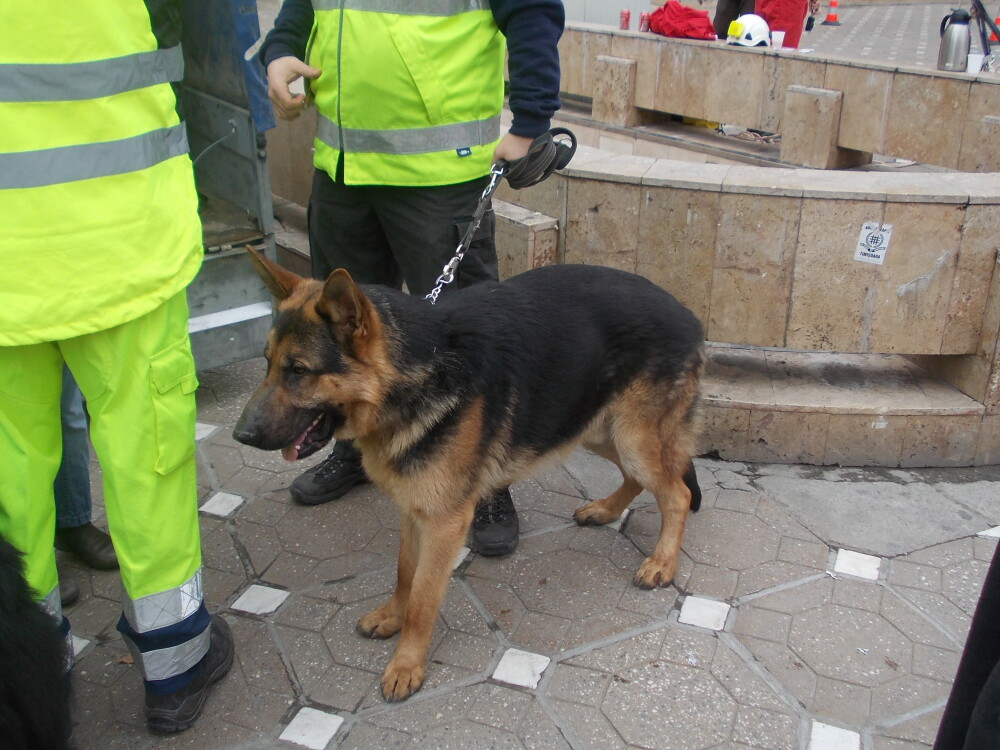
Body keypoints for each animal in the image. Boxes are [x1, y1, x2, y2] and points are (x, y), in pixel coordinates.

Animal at [234, 253, 704, 704]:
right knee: (640, 478)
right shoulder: (413, 509)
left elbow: (424, 598)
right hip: (594, 427)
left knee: (676, 493)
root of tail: (688, 313)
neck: (416, 373)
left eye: (298, 370)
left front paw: (406, 664)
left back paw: (661, 562)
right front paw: (391, 616)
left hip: (629, 436)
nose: (242, 435)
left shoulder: (444, 523)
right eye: (267, 364)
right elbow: (405, 573)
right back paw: (606, 510)